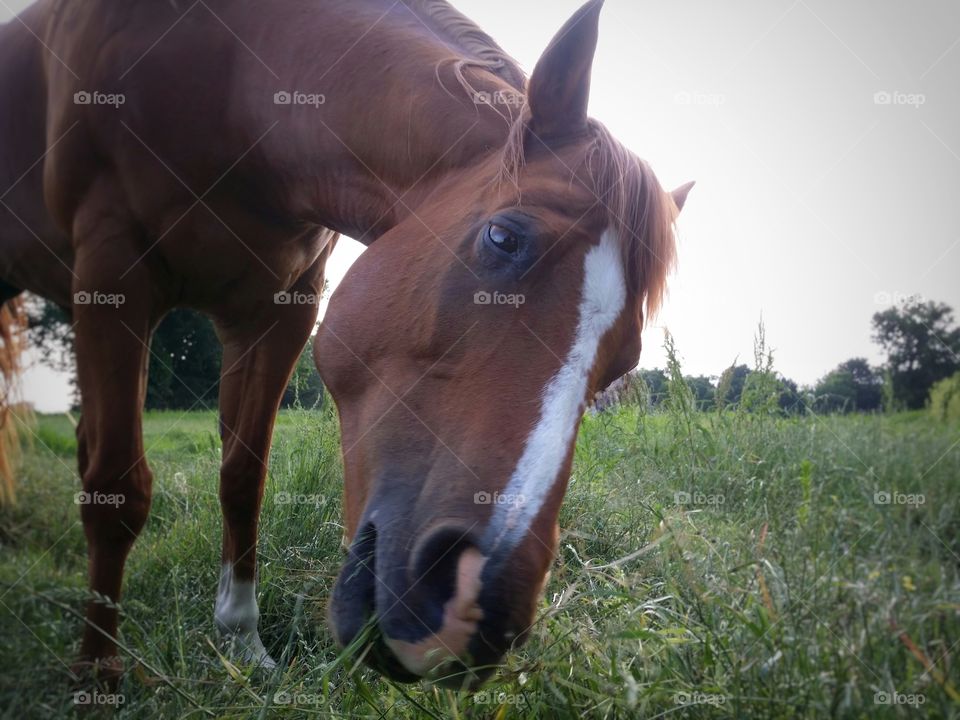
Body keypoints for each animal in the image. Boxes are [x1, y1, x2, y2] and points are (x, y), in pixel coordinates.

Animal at [0, 0, 688, 688]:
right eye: (502, 238)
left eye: (624, 362)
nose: (477, 608)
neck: (232, 78)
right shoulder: (113, 272)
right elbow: (117, 488)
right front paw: (97, 671)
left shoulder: (280, 310)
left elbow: (243, 476)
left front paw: (242, 640)